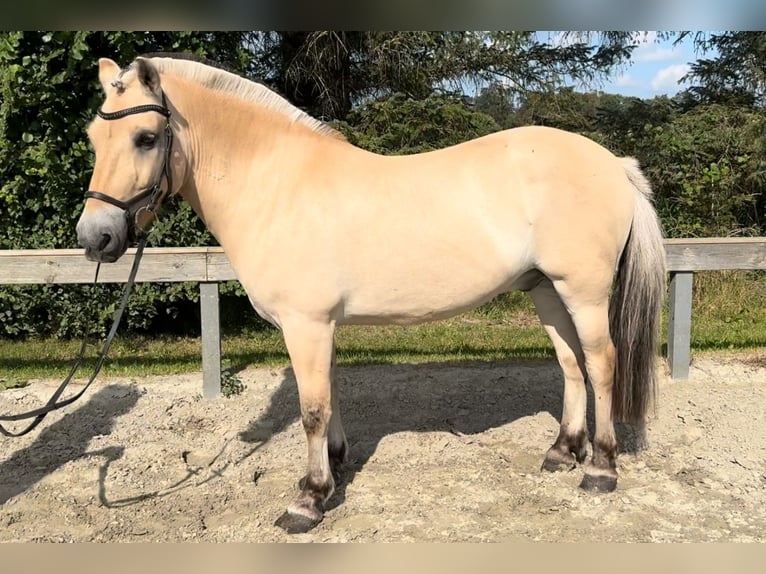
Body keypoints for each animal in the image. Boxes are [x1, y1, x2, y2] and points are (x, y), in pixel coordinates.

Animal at [75, 55, 668, 536]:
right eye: (93, 138)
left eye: (146, 138)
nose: (95, 238)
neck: (278, 186)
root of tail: (614, 164)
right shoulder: (322, 327)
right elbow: (331, 394)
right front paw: (336, 466)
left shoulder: (307, 324)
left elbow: (312, 409)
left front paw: (308, 500)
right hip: (546, 290)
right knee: (572, 365)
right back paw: (563, 453)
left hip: (583, 291)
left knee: (601, 363)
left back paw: (600, 469)